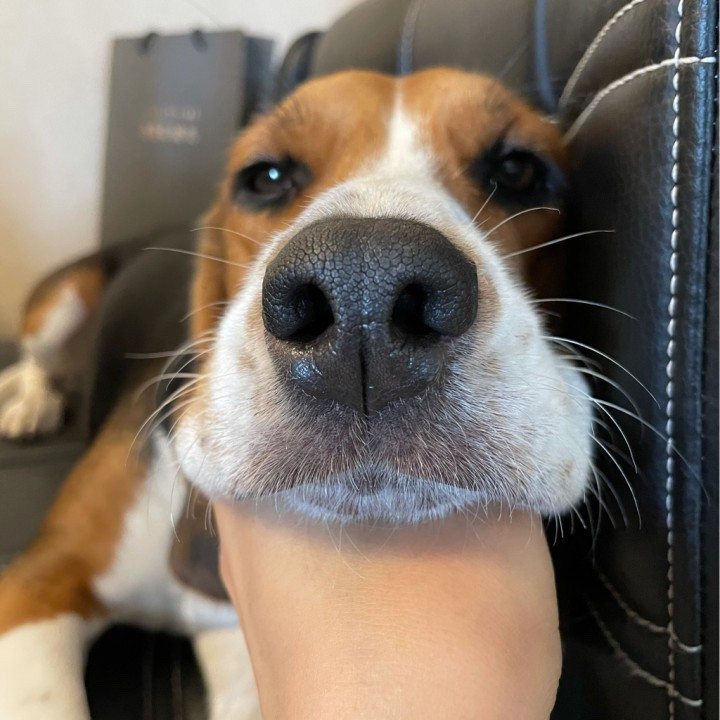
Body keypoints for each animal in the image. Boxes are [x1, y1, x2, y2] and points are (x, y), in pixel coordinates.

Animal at [0, 68, 593, 719]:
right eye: (266, 177)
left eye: (517, 170)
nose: (364, 292)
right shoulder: (37, 585)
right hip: (60, 303)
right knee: (38, 356)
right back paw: (29, 400)